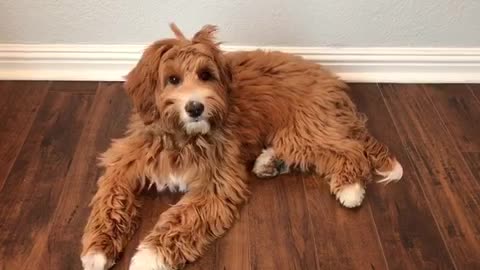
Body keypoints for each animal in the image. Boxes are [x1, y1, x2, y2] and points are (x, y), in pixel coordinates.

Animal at [80, 23, 404, 270]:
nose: (195, 107)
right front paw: (97, 251)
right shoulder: (126, 161)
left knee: (349, 150)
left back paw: (350, 188)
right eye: (172, 79)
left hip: (306, 126)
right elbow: (110, 199)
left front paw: (148, 257)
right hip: (300, 131)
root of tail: (332, 81)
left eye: (206, 75)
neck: (184, 137)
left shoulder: (217, 183)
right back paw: (269, 163)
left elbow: (180, 219)